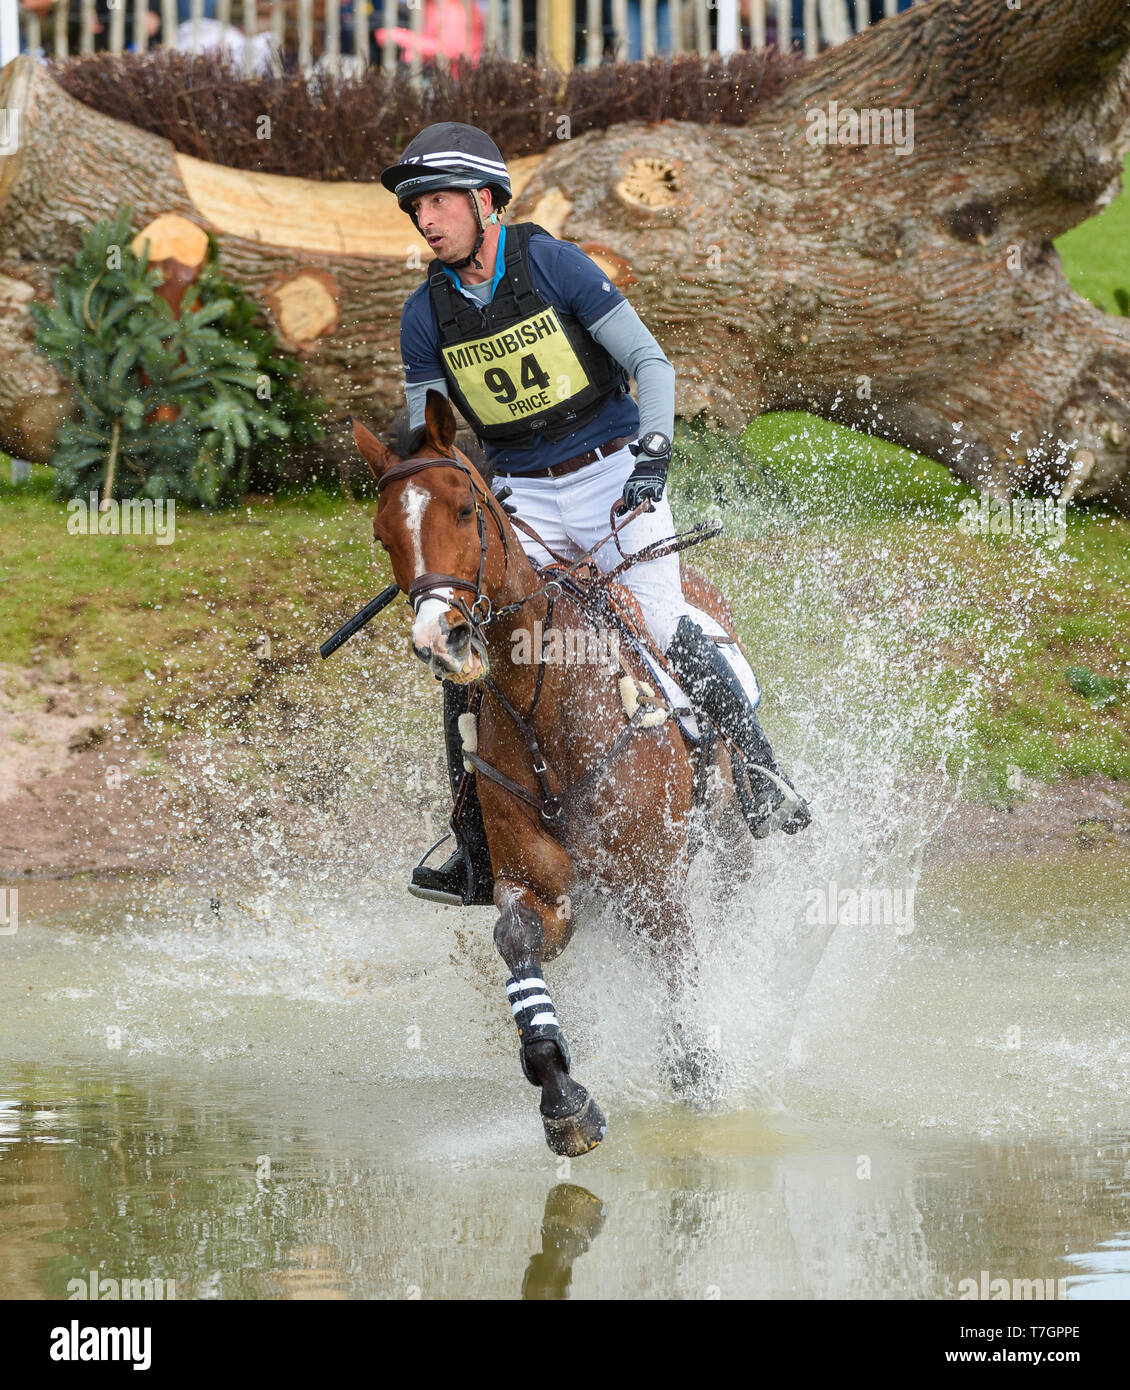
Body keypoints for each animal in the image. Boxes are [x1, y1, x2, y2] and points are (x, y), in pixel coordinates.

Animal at [355, 389, 756, 1150]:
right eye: (383, 533)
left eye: (465, 509)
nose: (439, 639)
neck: (546, 705)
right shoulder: (545, 889)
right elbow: (516, 943)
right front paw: (563, 1097)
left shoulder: (655, 886)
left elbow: (683, 989)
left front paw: (696, 1081)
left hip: (730, 842)